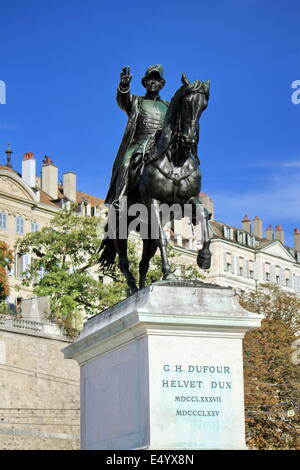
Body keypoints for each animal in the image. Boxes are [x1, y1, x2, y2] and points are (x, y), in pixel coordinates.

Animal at [98, 73, 211, 294]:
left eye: (204, 106)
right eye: (186, 103)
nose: (189, 139)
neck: (176, 158)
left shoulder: (189, 199)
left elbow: (203, 216)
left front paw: (204, 258)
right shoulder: (153, 201)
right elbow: (163, 238)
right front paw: (169, 274)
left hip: (145, 233)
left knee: (143, 264)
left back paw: (142, 288)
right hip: (120, 227)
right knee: (124, 261)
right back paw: (133, 288)